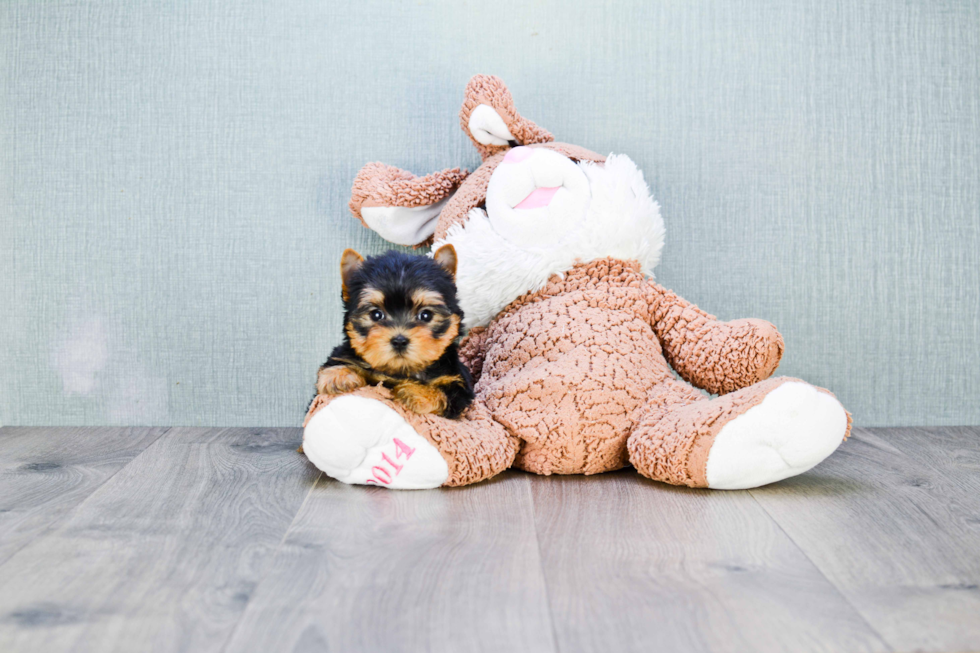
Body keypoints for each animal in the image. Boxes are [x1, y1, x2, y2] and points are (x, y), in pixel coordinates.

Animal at [314, 244, 474, 418]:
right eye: (376, 314)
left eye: (426, 315)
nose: (399, 341)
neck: (400, 371)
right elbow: (339, 361)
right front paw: (338, 376)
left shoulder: (458, 385)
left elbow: (444, 394)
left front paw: (416, 392)